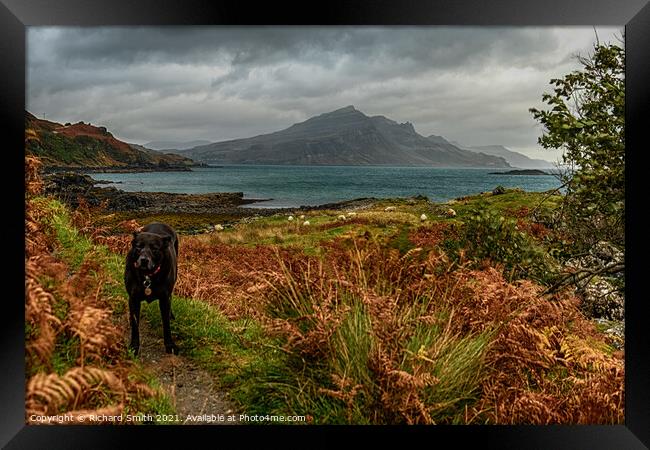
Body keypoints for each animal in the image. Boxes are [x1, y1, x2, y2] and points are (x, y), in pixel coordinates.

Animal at [124, 221, 178, 356]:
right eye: (139, 247)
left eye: (154, 248)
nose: (144, 260)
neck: (148, 275)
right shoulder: (133, 299)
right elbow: (135, 325)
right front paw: (134, 346)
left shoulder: (164, 299)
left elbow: (166, 324)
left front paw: (170, 345)